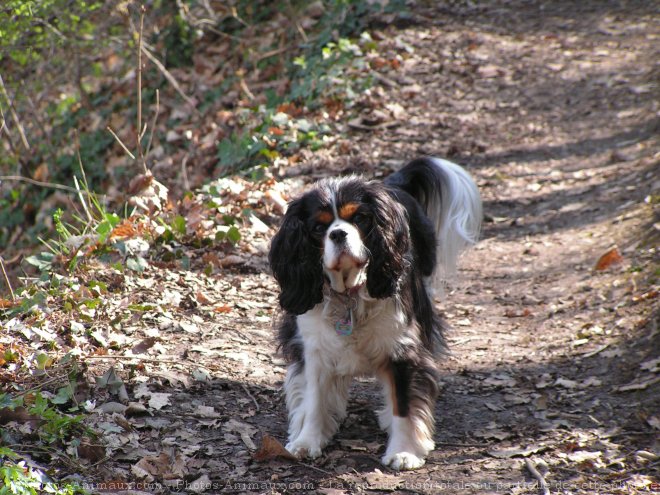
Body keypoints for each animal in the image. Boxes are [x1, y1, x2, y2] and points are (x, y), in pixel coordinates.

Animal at [266, 157, 480, 470]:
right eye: (318, 228)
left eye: (359, 219)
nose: (338, 233)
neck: (349, 294)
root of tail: (392, 183)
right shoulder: (314, 347)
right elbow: (314, 398)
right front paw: (308, 440)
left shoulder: (402, 347)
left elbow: (404, 402)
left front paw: (404, 450)